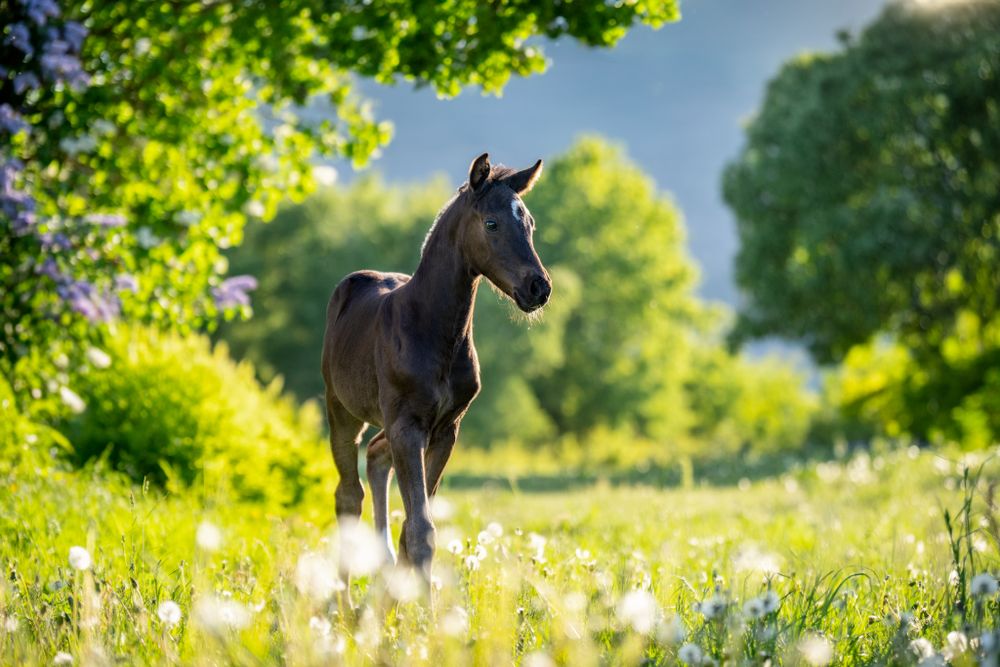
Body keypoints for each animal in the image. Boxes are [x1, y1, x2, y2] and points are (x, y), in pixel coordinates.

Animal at [321, 153, 551, 580]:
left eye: (529, 224)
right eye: (491, 223)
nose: (539, 288)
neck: (432, 330)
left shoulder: (445, 429)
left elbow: (414, 527)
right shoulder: (409, 426)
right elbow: (421, 529)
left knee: (376, 456)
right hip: (342, 410)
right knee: (348, 495)